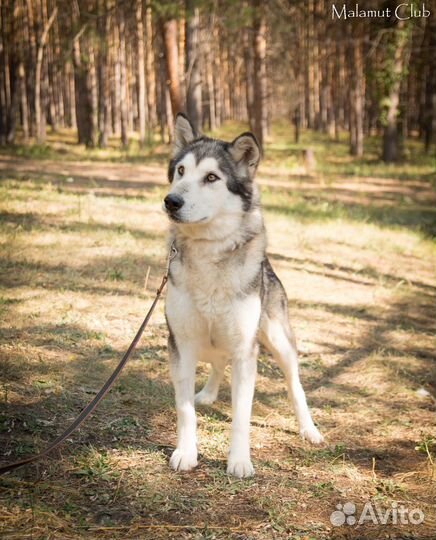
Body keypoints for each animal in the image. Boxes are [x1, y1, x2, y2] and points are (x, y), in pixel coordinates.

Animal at [164, 113, 324, 476]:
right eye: (181, 170)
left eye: (211, 177)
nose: (171, 201)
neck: (209, 253)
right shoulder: (182, 344)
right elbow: (184, 410)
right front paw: (186, 453)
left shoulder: (244, 351)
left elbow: (242, 415)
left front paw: (239, 460)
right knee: (217, 363)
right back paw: (208, 394)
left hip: (278, 341)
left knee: (295, 386)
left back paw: (308, 429)